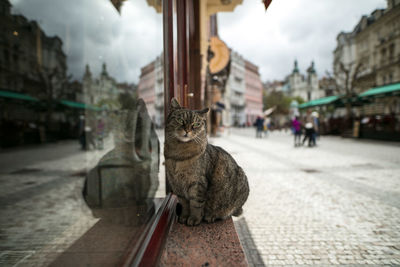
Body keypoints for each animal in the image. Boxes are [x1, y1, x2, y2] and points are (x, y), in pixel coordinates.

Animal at [164, 98, 248, 226]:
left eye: (196, 124)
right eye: (180, 120)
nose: (187, 130)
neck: (179, 153)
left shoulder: (197, 184)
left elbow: (196, 205)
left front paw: (194, 219)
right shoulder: (177, 184)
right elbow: (184, 204)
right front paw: (184, 217)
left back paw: (211, 216)